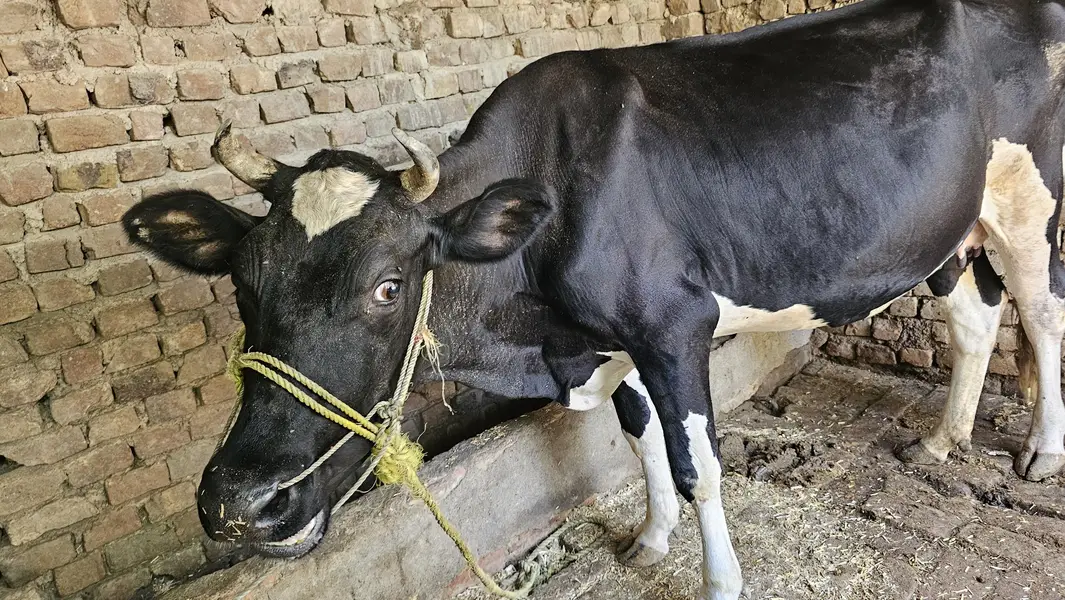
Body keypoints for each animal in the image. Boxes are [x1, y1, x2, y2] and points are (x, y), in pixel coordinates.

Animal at [124, 1, 1065, 598]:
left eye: (389, 286)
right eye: (243, 282)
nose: (243, 505)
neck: (543, 338)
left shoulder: (672, 325)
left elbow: (696, 464)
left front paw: (719, 582)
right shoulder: (608, 337)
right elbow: (637, 437)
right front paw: (647, 542)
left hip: (1030, 201)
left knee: (1040, 314)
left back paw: (1040, 452)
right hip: (945, 229)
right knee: (975, 320)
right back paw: (943, 439)